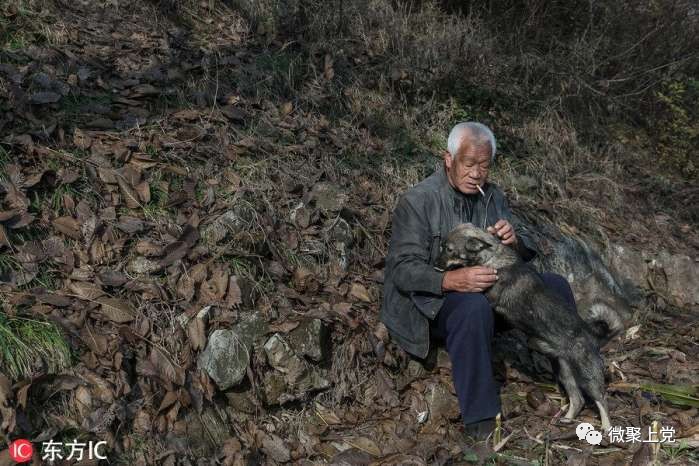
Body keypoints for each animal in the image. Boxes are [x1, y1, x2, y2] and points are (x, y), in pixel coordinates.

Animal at [438, 224, 612, 432]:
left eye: (449, 250)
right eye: (442, 247)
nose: (436, 264)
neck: (492, 257)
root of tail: (593, 336)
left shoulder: (489, 296)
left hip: (588, 375)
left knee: (602, 399)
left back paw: (607, 426)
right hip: (565, 371)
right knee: (578, 400)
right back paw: (567, 419)